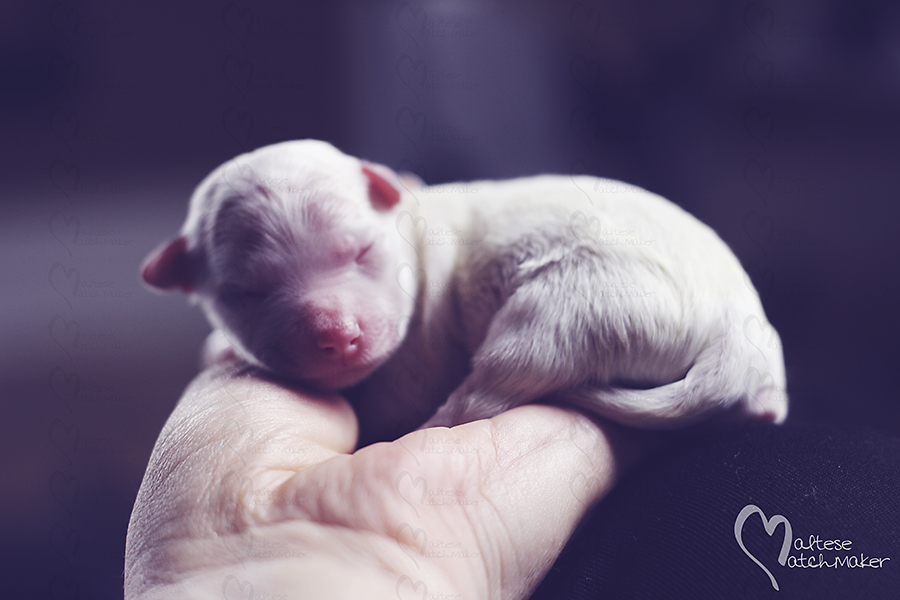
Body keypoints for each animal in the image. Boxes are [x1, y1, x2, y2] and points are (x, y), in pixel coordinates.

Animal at [142, 139, 788, 440]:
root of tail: (734, 339)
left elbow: (397, 394)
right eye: (247, 292)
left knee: (486, 393)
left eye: (362, 251)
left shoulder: (418, 352)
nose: (336, 334)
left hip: (564, 312)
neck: (413, 231)